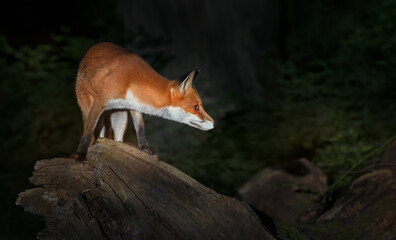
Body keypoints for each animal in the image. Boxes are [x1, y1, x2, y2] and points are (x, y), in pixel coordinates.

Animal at [74, 42, 217, 160]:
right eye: (196, 107)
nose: (215, 124)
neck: (131, 81)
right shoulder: (99, 102)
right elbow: (87, 133)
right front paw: (81, 155)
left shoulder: (135, 105)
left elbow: (140, 129)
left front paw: (145, 148)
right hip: (88, 107)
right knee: (94, 130)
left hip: (120, 117)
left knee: (116, 138)